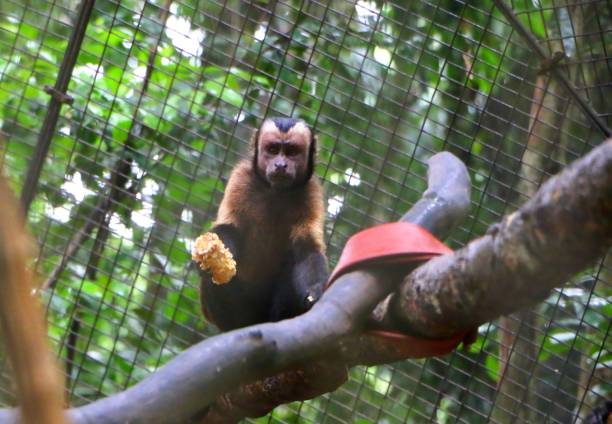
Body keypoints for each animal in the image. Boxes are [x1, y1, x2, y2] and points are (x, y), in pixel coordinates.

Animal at [196, 117, 330, 332]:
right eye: (273, 149)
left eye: (292, 152)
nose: (281, 164)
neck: (276, 192)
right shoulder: (241, 178)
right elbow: (229, 229)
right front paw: (211, 256)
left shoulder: (311, 192)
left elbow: (307, 249)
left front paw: (315, 291)